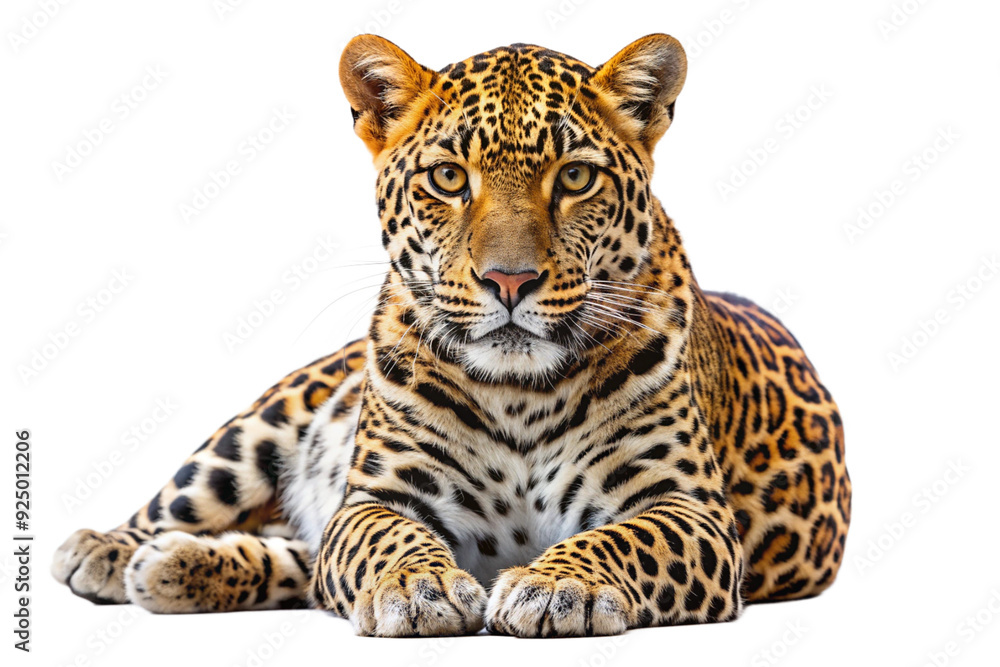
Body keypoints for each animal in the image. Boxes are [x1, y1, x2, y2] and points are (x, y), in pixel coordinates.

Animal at [52, 33, 851, 637]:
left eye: (575, 178)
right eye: (447, 178)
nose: (509, 280)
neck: (521, 393)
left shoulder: (691, 509)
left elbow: (627, 537)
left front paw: (556, 587)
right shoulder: (376, 497)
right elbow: (381, 539)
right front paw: (419, 589)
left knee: (297, 561)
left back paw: (173, 566)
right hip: (264, 421)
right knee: (195, 503)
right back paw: (110, 550)